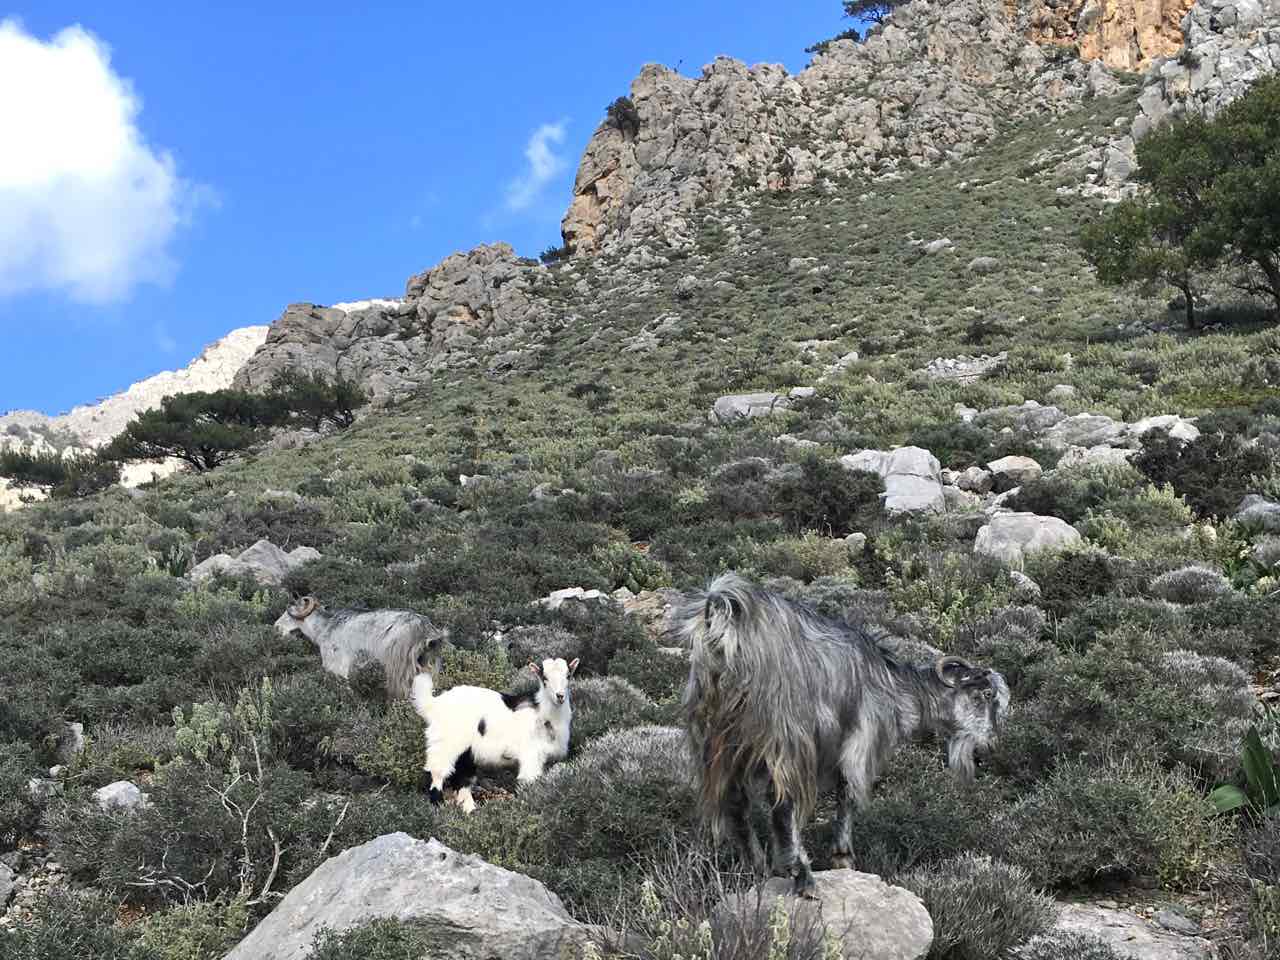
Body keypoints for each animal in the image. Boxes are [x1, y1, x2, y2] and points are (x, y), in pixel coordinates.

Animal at [272, 599, 448, 701]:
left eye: (289, 613)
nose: (276, 627)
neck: (324, 626)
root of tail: (425, 629)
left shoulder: (338, 667)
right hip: (428, 663)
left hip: (399, 666)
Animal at [409, 660, 581, 814]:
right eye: (545, 678)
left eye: (568, 675)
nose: (560, 696)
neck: (542, 712)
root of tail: (434, 704)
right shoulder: (530, 756)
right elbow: (529, 781)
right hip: (445, 744)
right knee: (438, 772)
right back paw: (438, 806)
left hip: (466, 753)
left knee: (462, 780)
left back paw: (470, 811)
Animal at [675, 570, 1013, 896]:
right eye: (985, 695)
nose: (991, 746)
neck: (895, 688)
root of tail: (723, 628)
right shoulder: (858, 743)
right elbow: (846, 796)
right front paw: (843, 857)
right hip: (786, 736)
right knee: (782, 804)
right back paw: (804, 879)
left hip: (717, 739)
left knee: (735, 802)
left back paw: (759, 868)